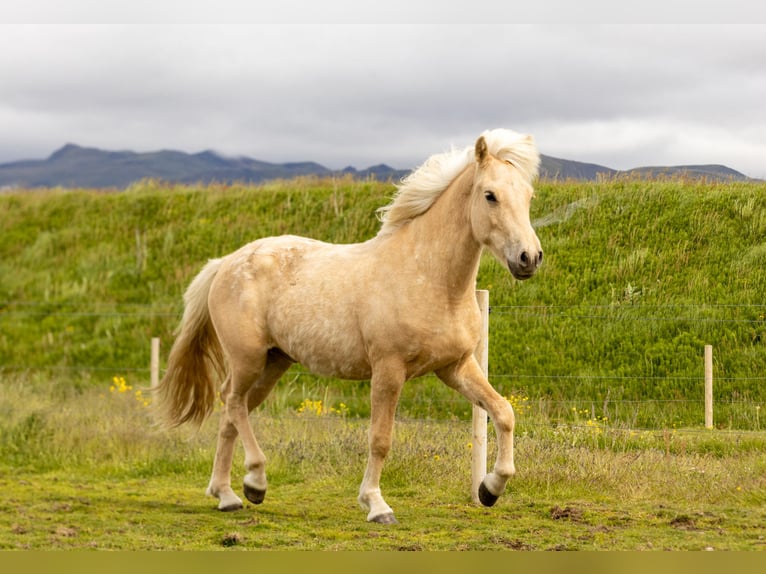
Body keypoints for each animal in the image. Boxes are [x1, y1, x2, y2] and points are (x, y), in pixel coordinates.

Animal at [154, 128, 543, 524]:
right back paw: (255, 482)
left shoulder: (456, 367)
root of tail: (226, 262)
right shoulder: (388, 370)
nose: (529, 258)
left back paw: (228, 494)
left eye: (528, 196)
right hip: (248, 358)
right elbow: (380, 439)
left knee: (234, 412)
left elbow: (504, 412)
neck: (429, 277)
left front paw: (491, 488)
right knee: (232, 402)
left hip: (272, 363)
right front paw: (376, 505)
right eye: (490, 195)